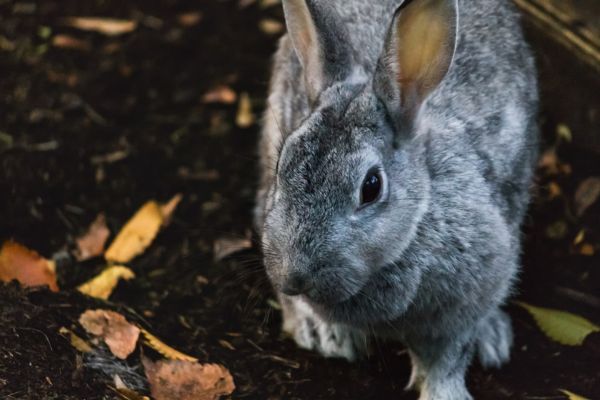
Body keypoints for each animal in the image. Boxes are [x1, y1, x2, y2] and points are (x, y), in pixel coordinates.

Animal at [253, 0, 540, 396]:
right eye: (285, 162)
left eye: (371, 186)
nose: (292, 278)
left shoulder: (467, 302)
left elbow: (447, 359)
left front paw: (444, 394)